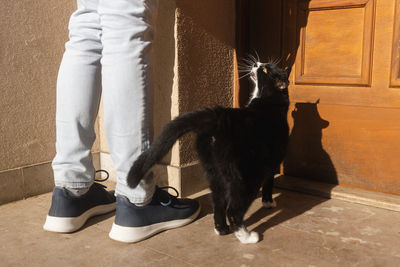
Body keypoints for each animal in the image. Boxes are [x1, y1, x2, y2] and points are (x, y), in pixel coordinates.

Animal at [127, 62, 290, 245]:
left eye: (266, 69)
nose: (256, 63)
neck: (268, 102)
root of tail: (218, 118)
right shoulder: (274, 160)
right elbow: (269, 181)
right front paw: (268, 202)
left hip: (213, 170)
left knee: (218, 202)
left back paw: (221, 229)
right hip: (247, 177)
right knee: (233, 210)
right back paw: (247, 237)